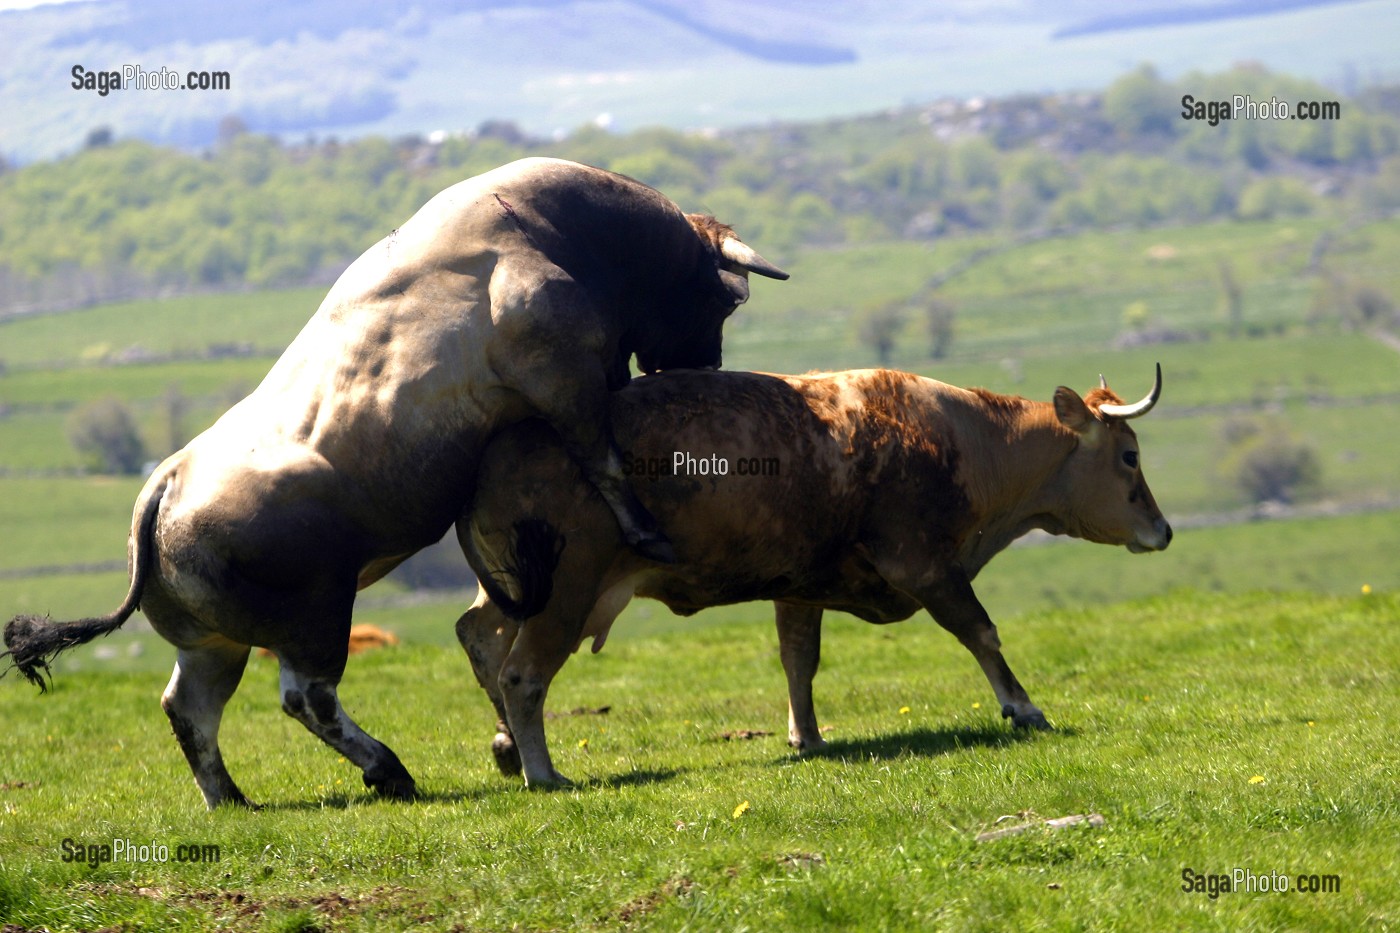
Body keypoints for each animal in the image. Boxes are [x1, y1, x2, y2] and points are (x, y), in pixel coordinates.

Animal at [0, 156, 789, 801]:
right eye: (724, 300)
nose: (706, 365)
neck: (552, 229)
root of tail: (163, 484)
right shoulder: (566, 378)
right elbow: (604, 458)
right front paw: (646, 531)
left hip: (213, 641)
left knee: (190, 707)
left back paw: (232, 796)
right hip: (317, 616)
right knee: (307, 698)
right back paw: (387, 768)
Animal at [453, 364, 1164, 784]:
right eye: (1129, 456)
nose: (1164, 530)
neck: (961, 441)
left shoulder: (798, 586)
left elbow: (799, 660)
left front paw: (809, 736)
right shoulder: (925, 563)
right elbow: (982, 633)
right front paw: (1023, 706)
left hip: (512, 592)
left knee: (479, 636)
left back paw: (508, 746)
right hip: (565, 592)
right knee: (522, 675)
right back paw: (545, 773)